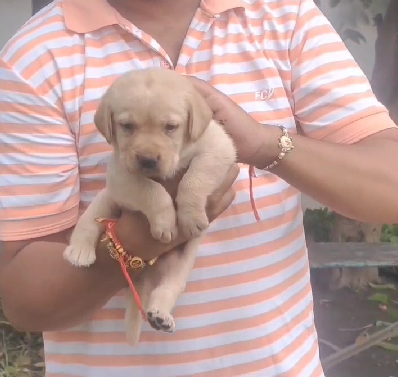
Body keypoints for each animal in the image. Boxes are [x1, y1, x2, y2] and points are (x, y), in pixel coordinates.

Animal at [62, 67, 236, 344]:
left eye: (171, 127)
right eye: (127, 126)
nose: (147, 160)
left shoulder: (218, 147)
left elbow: (194, 178)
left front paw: (189, 216)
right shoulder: (120, 174)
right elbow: (153, 191)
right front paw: (165, 222)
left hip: (180, 264)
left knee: (168, 288)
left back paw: (161, 315)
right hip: (107, 198)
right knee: (88, 222)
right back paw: (79, 252)